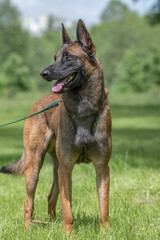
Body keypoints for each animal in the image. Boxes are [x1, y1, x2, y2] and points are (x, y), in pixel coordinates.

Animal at [0, 19, 112, 233]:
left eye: (68, 57)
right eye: (55, 57)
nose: (43, 73)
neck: (82, 109)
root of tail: (39, 102)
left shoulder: (102, 168)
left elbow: (103, 205)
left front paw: (106, 231)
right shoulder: (66, 168)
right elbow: (67, 208)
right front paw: (68, 233)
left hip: (56, 169)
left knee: (51, 197)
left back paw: (52, 224)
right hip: (35, 167)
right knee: (29, 202)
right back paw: (28, 228)